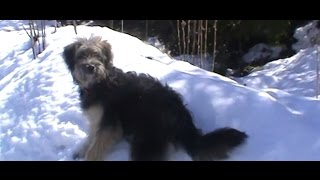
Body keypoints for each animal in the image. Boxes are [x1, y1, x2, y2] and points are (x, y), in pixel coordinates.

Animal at [62, 36, 248, 160]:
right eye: (81, 56)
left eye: (98, 56)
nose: (91, 67)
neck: (100, 83)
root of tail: (182, 117)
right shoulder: (99, 118)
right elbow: (92, 136)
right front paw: (81, 150)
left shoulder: (110, 121)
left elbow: (96, 145)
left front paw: (87, 155)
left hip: (147, 138)